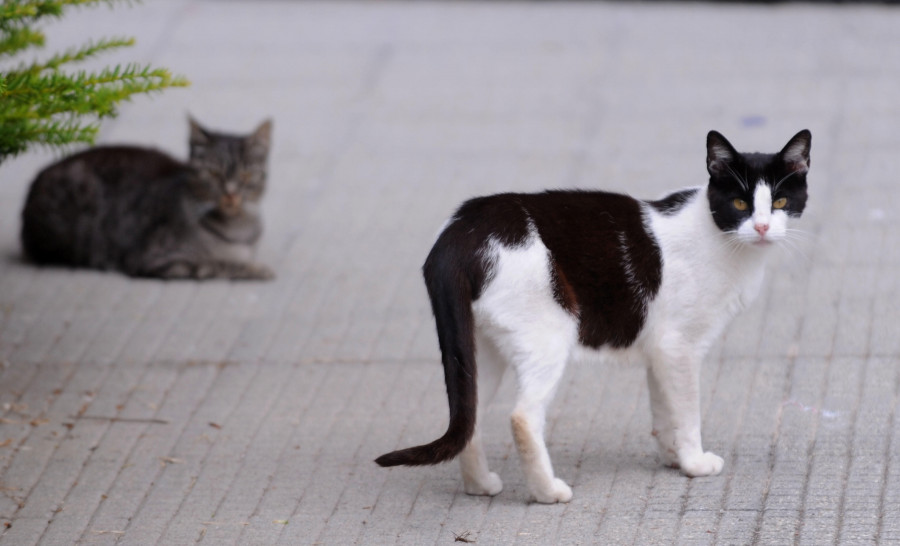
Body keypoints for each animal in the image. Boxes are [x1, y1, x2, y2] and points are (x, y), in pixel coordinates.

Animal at [21, 119, 272, 280]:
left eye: (246, 175)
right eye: (212, 173)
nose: (231, 193)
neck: (238, 229)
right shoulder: (157, 260)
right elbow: (216, 264)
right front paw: (257, 269)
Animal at [376, 129, 812, 502]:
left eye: (779, 203)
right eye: (739, 203)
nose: (761, 227)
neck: (723, 240)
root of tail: (460, 232)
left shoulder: (661, 350)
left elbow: (664, 407)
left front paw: (673, 457)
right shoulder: (680, 348)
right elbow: (687, 411)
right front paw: (694, 462)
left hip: (481, 350)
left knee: (470, 417)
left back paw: (480, 485)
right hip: (547, 336)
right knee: (521, 417)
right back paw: (548, 492)